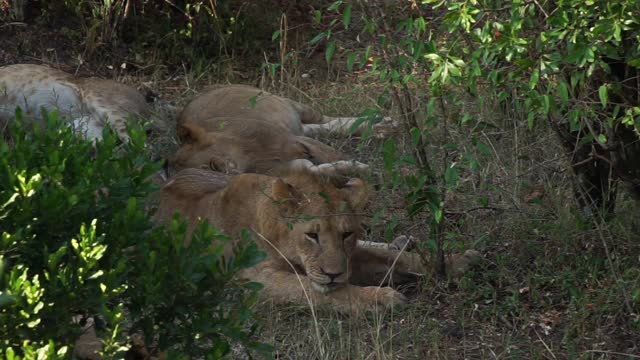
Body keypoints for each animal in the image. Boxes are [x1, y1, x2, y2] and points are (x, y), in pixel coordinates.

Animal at [156, 168, 480, 312]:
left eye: (346, 234)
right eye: (312, 235)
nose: (333, 274)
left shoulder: (349, 255)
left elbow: (388, 259)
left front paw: (457, 262)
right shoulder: (256, 279)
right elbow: (324, 293)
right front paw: (381, 298)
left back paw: (403, 241)